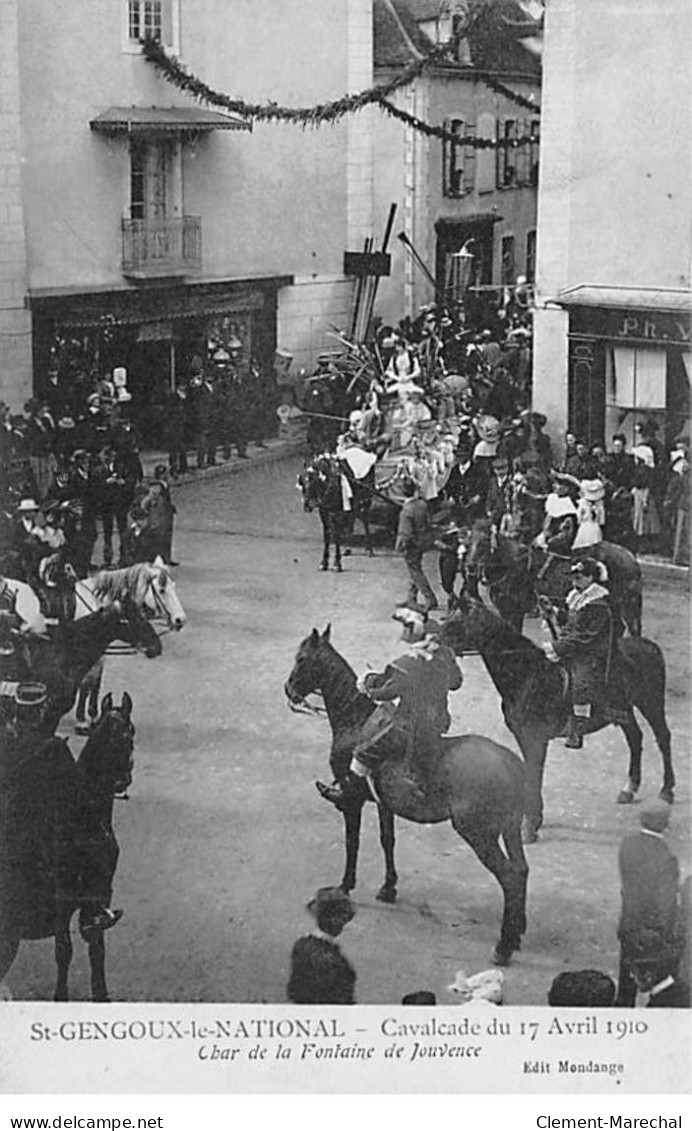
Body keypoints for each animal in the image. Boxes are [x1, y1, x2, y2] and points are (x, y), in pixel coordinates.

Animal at [0, 687, 135, 999]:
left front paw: (101, 994)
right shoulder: (61, 899)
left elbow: (97, 947)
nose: (120, 782)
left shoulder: (101, 892)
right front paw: (61, 995)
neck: (84, 818)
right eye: (101, 732)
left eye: (130, 732)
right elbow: (64, 950)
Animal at [283, 628, 526, 963]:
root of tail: (510, 762)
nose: (289, 690)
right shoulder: (384, 803)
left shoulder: (352, 800)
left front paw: (345, 885)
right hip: (510, 829)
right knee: (522, 871)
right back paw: (518, 931)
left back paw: (504, 945)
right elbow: (388, 841)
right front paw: (388, 888)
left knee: (510, 878)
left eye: (303, 659)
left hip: (479, 834)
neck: (355, 721)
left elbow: (352, 842)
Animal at [440, 592, 673, 841]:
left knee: (663, 738)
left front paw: (530, 826)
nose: (432, 641)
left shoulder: (536, 739)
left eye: (455, 622)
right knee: (635, 738)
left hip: (651, 704)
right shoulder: (525, 738)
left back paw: (667, 791)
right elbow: (531, 774)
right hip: (625, 710)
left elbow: (534, 775)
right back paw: (629, 789)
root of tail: (650, 646)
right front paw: (535, 820)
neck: (529, 675)